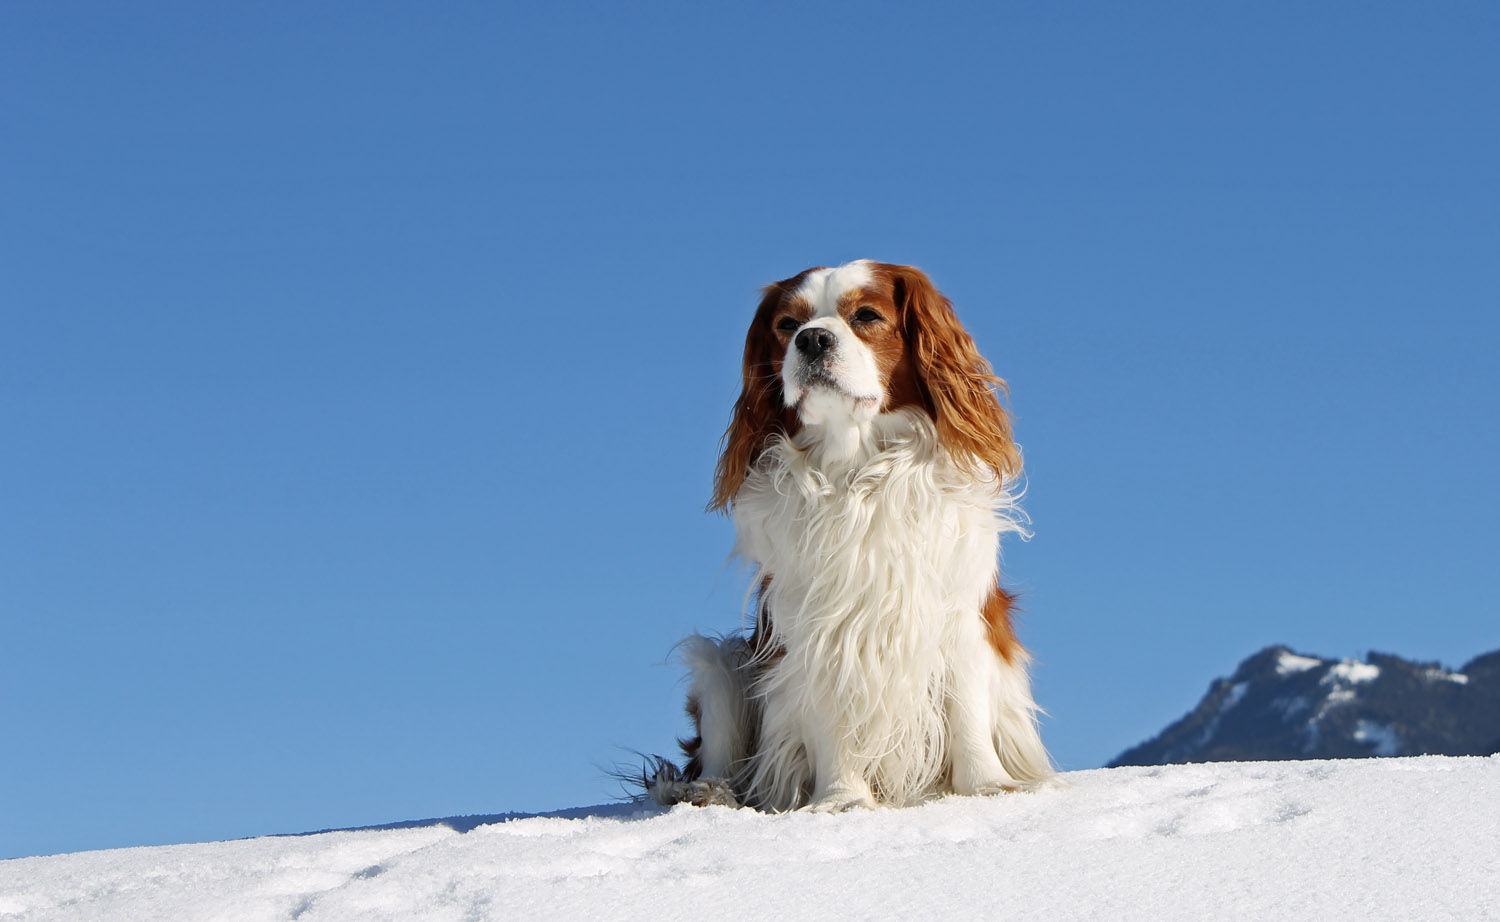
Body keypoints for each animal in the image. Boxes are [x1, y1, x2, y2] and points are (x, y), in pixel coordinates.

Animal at [648, 260, 1056, 815]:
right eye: (786, 325)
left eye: (865, 316)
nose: (812, 338)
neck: (856, 468)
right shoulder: (820, 627)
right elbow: (831, 717)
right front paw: (843, 799)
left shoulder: (959, 614)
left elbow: (967, 709)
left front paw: (986, 787)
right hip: (721, 665)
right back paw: (708, 790)